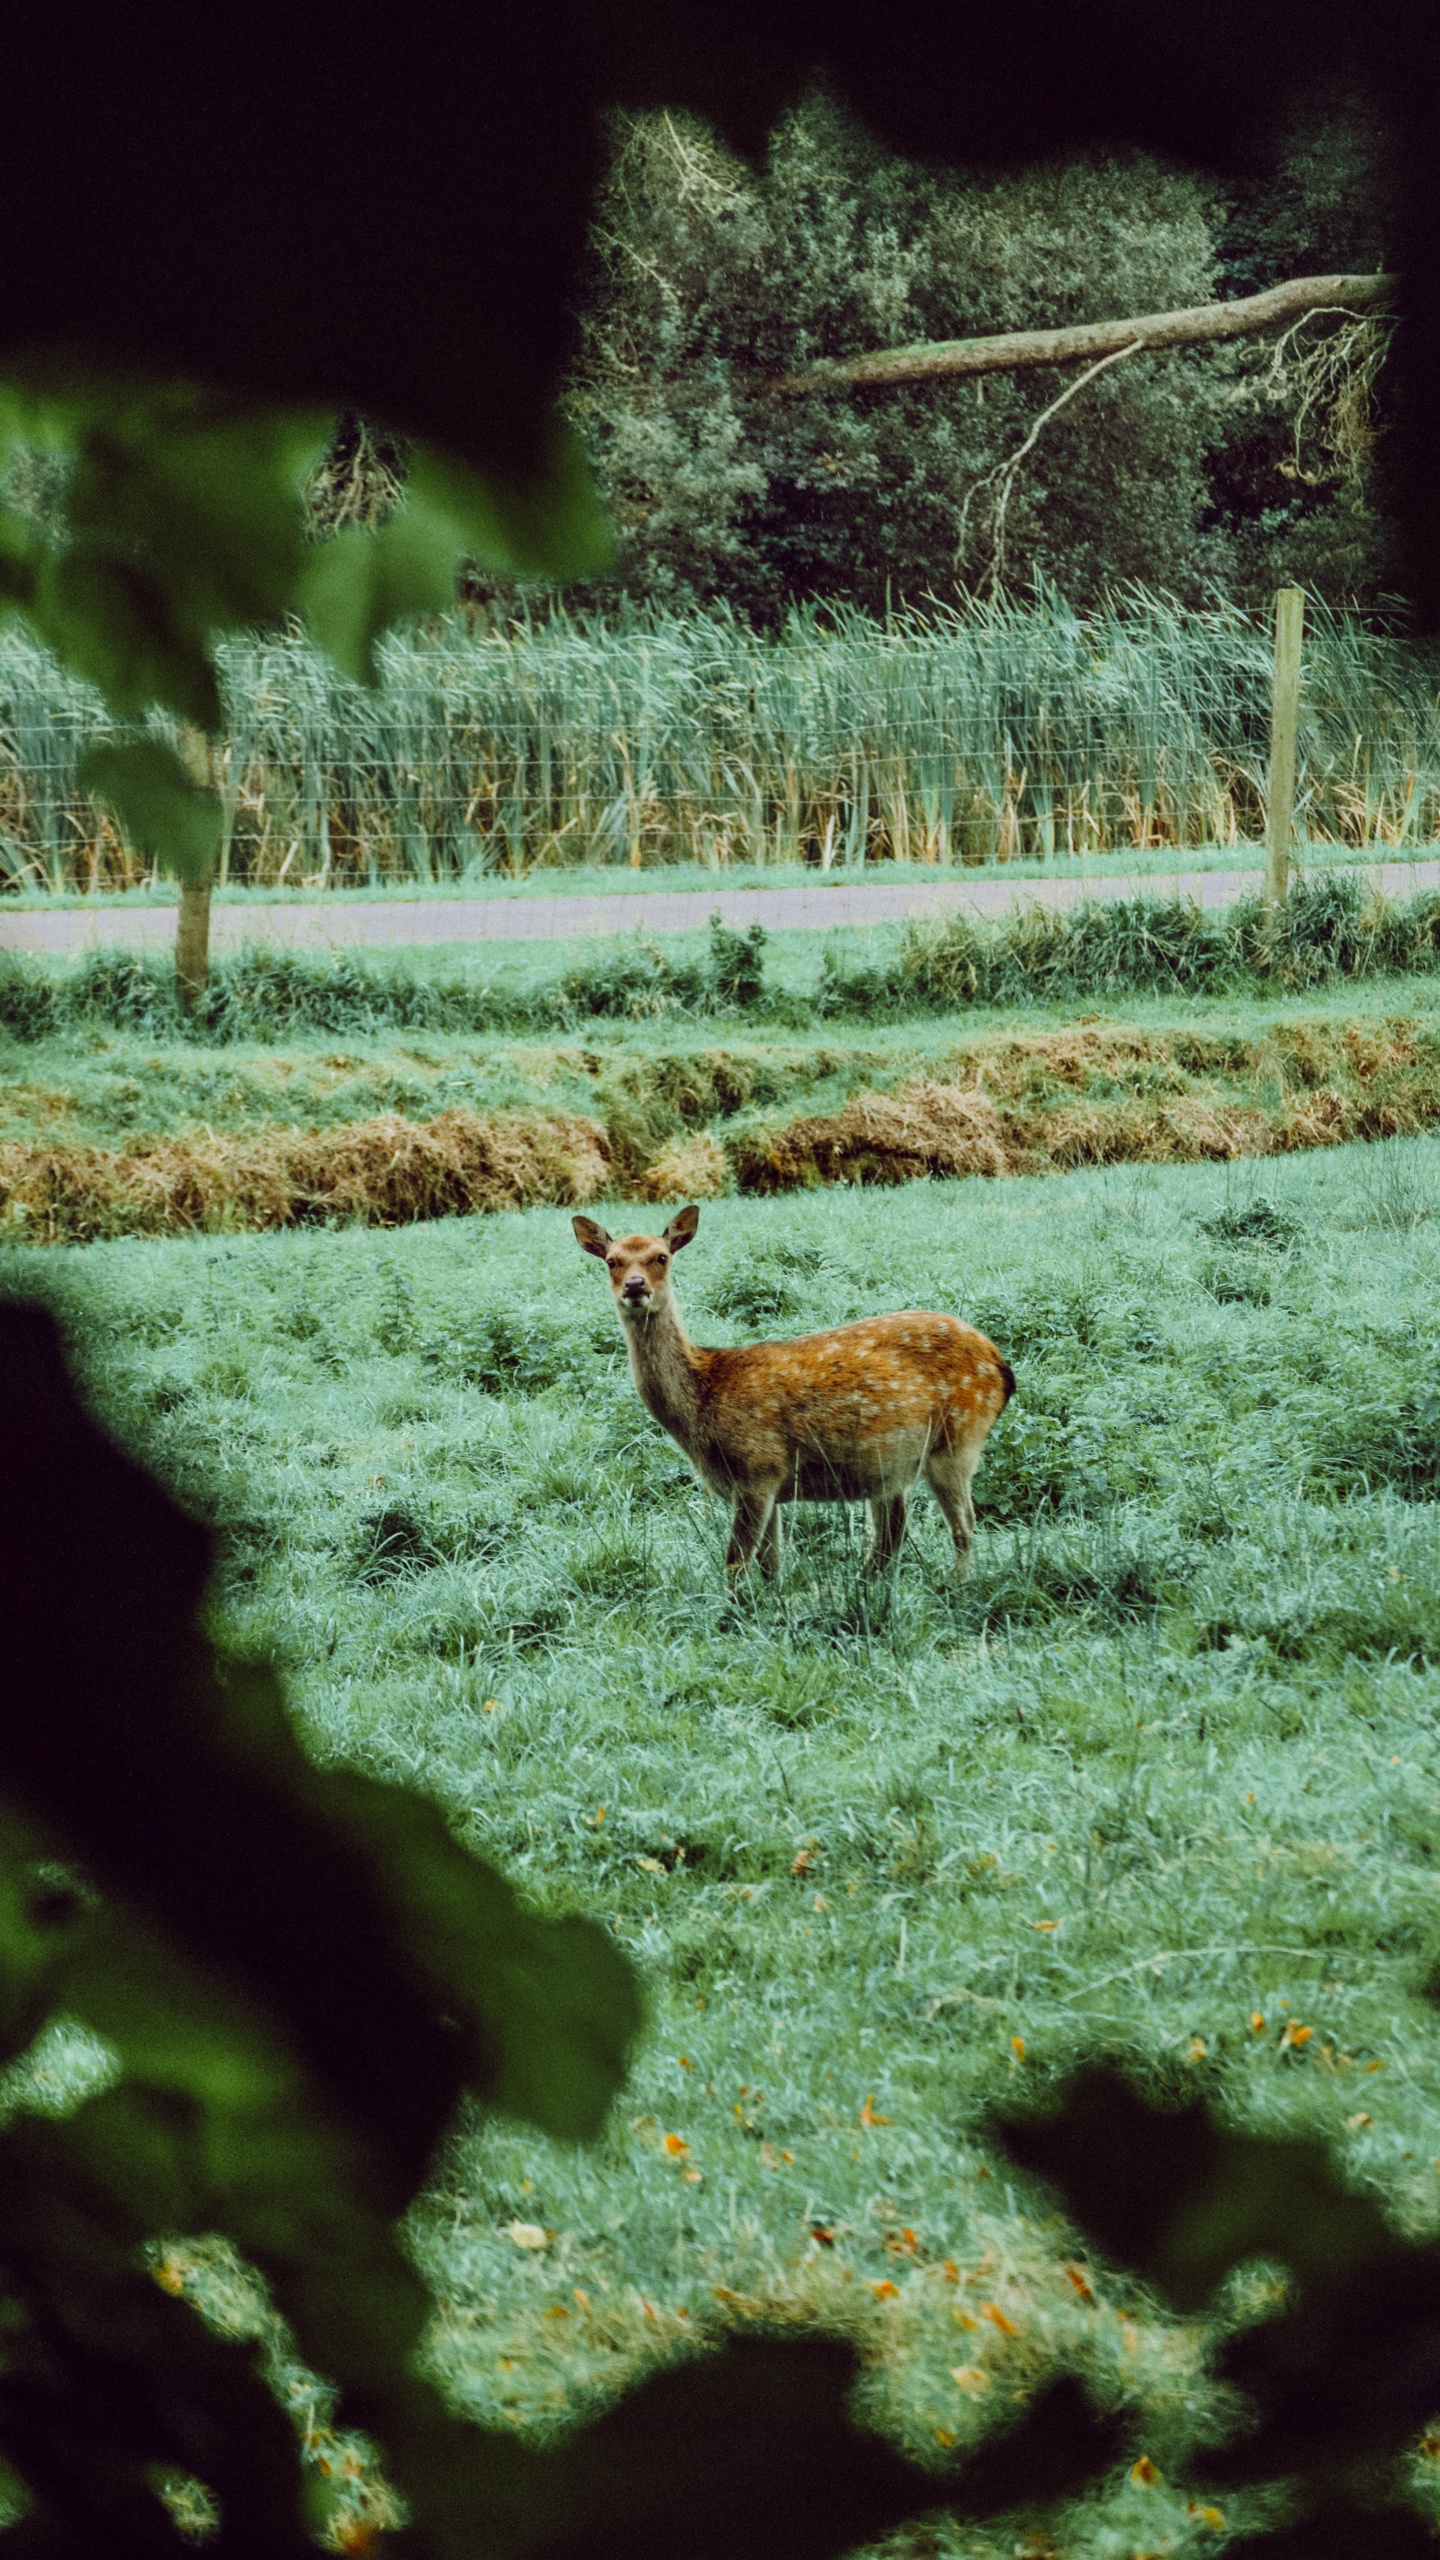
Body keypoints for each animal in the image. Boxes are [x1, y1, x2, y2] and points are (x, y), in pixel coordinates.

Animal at [573, 1203, 1014, 1579]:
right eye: (611, 1260)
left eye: (661, 1256)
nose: (635, 1286)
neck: (703, 1403)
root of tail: (1000, 1364)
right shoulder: (770, 1486)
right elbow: (770, 1564)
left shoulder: (759, 1467)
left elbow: (735, 1563)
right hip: (894, 1465)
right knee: (892, 1536)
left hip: (958, 1438)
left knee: (964, 1524)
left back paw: (955, 1584)